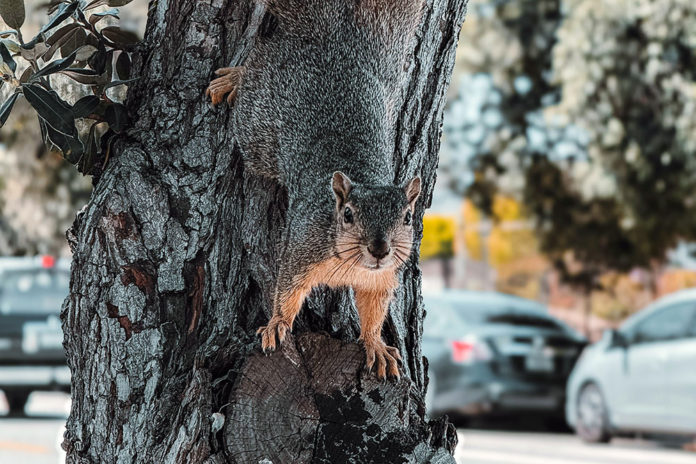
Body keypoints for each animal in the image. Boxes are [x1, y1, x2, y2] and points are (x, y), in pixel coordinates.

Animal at [207, 0, 424, 378]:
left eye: (408, 218)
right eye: (348, 215)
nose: (380, 250)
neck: (354, 263)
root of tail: (332, 43)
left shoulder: (382, 280)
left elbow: (373, 311)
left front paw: (376, 345)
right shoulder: (302, 247)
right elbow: (287, 289)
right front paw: (277, 323)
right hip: (258, 132)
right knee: (255, 69)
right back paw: (234, 77)